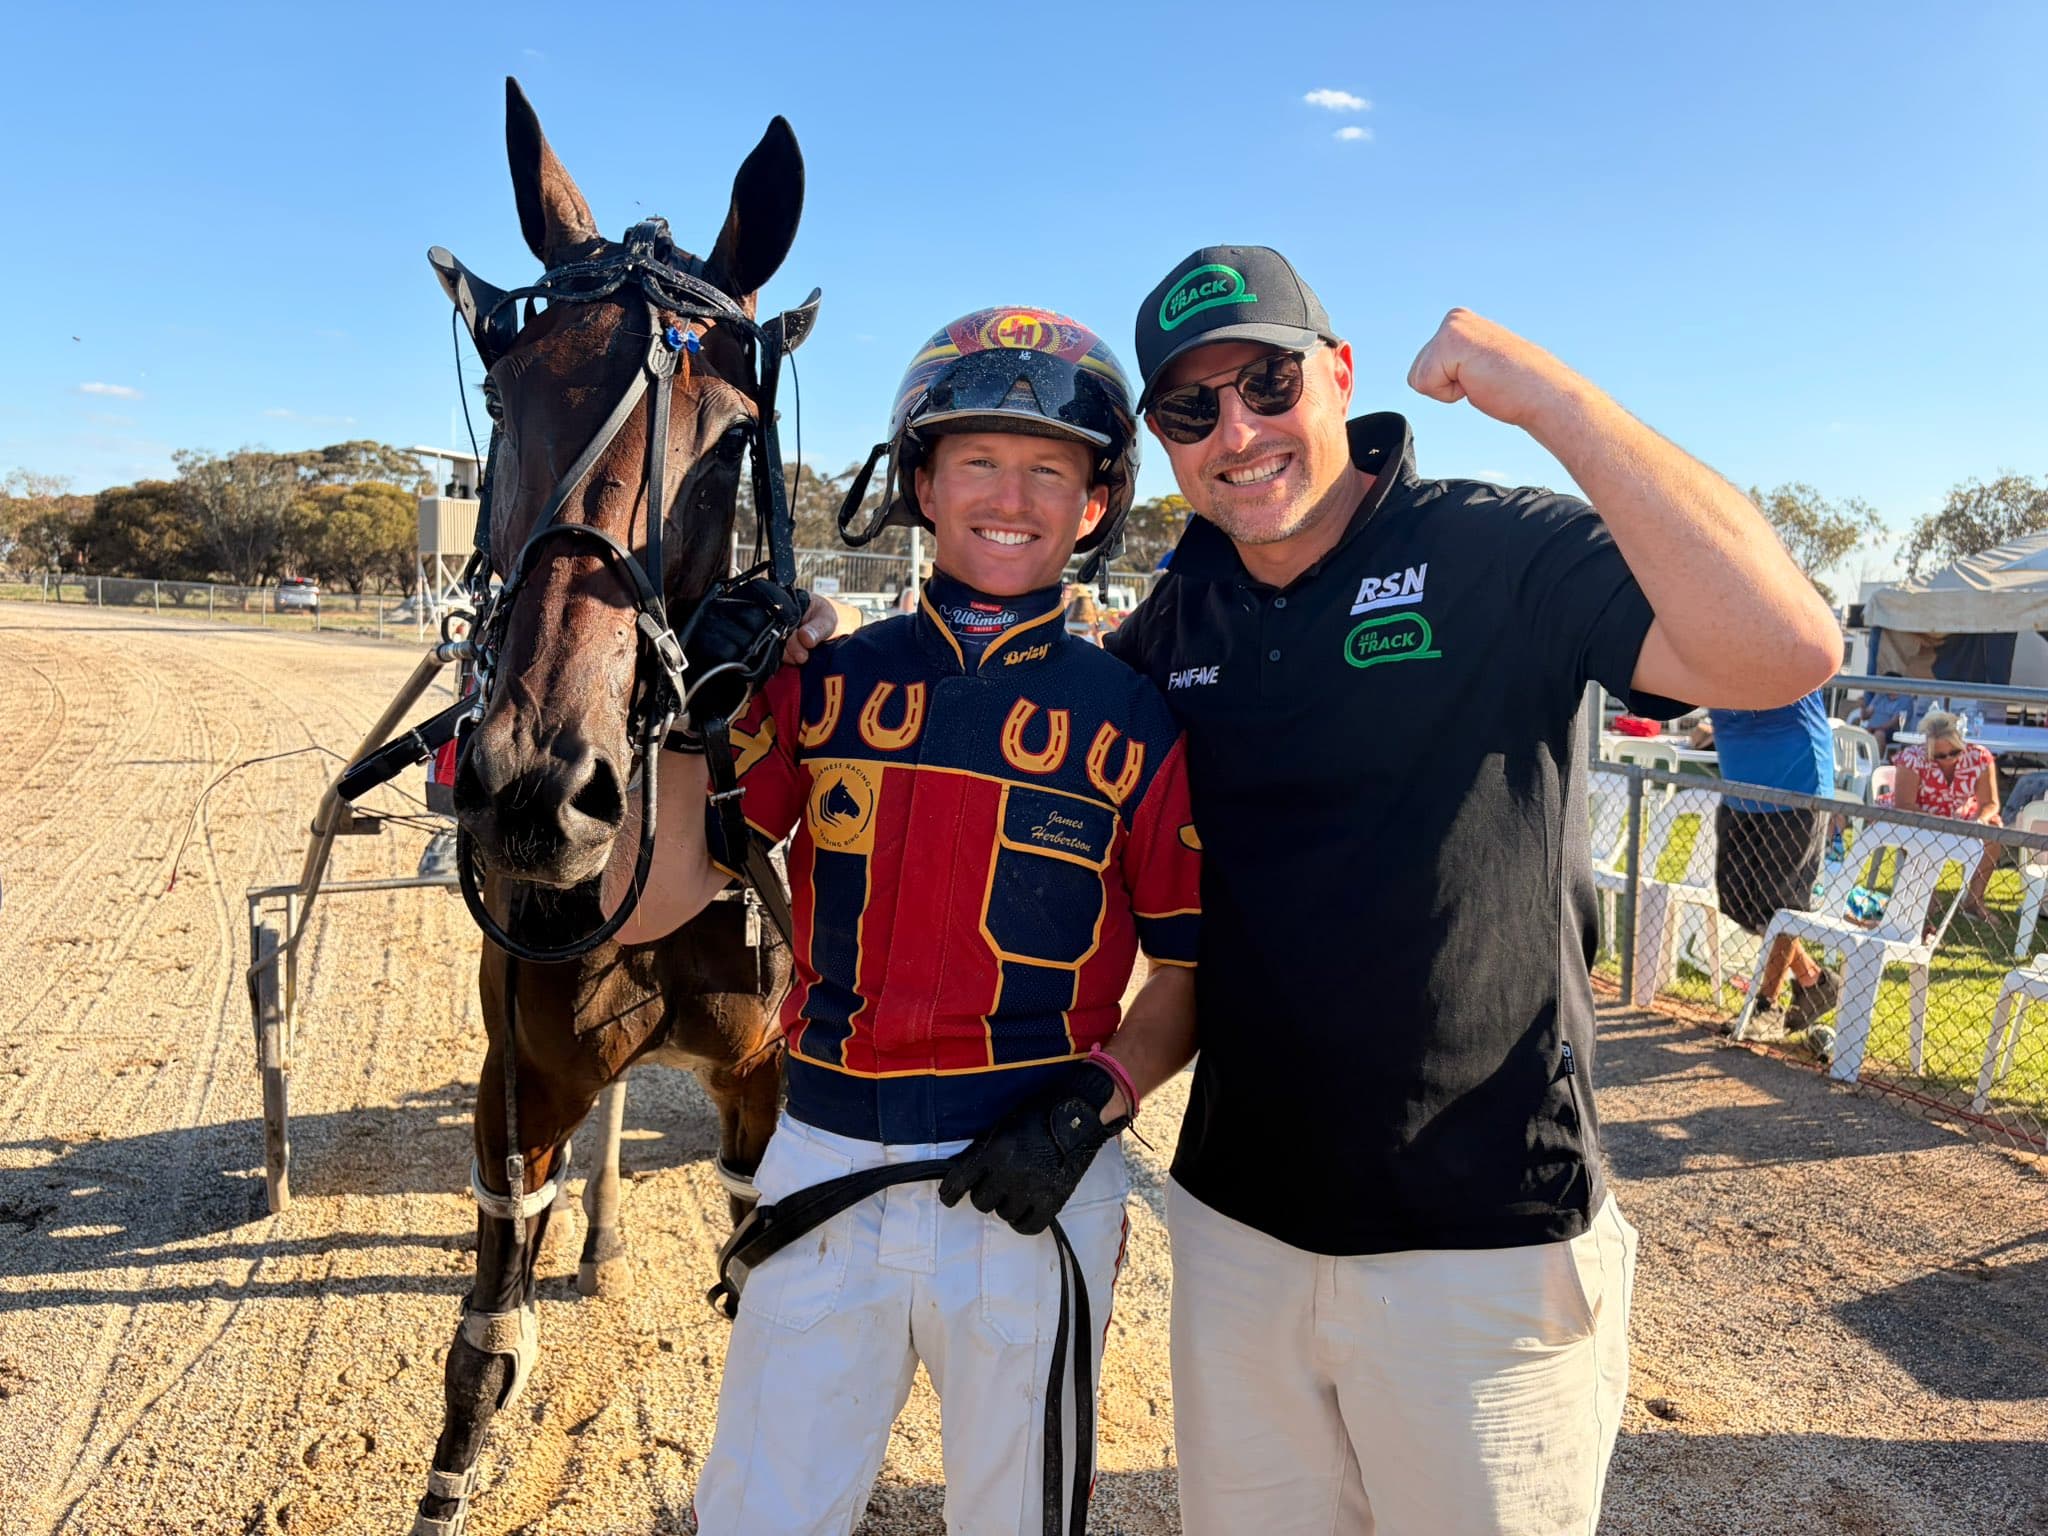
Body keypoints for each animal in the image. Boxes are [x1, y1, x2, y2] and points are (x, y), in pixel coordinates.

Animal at [411, 79, 808, 1535]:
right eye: (504, 387)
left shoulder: (763, 1081)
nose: (537, 781)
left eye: (736, 434)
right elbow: (483, 1354)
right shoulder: (519, 1080)